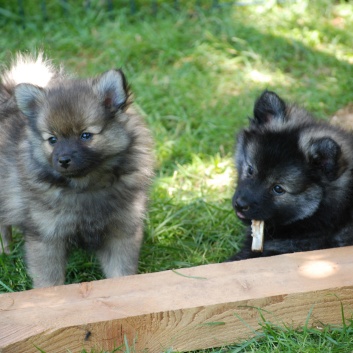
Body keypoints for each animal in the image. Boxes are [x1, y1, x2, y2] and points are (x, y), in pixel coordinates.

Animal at [0, 54, 154, 286]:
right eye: (52, 140)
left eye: (85, 135)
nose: (63, 160)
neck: (86, 187)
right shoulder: (47, 238)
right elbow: (50, 281)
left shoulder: (121, 232)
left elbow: (121, 272)